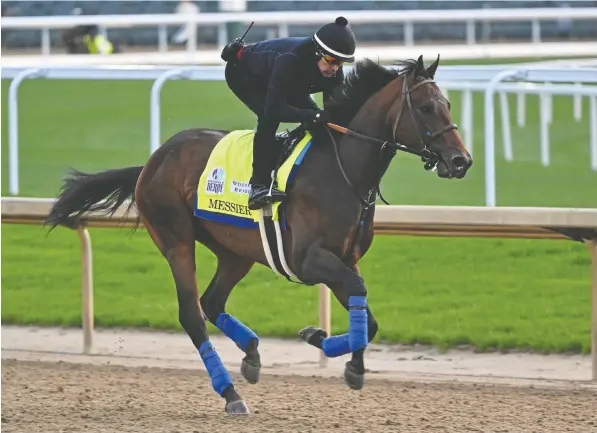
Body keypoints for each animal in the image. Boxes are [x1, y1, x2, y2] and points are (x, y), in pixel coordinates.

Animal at [45, 55, 470, 414]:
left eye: (448, 104)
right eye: (426, 108)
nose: (461, 161)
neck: (341, 170)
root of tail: (152, 160)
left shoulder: (344, 260)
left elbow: (369, 318)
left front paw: (320, 340)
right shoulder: (310, 260)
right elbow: (360, 298)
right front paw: (345, 361)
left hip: (236, 252)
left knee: (212, 300)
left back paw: (250, 353)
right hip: (176, 240)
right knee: (192, 314)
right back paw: (230, 393)